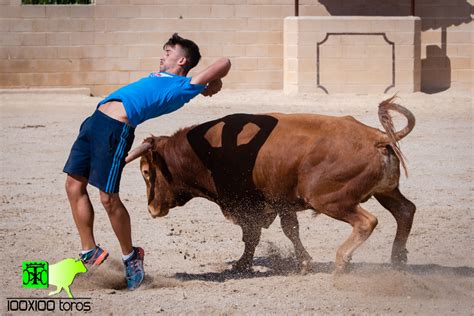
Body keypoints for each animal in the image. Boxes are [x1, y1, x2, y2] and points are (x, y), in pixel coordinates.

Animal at [125, 95, 414, 272]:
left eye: (146, 171)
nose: (152, 209)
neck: (207, 151)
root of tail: (376, 137)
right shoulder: (281, 201)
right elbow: (290, 230)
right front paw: (304, 262)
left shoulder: (248, 205)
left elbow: (252, 235)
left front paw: (242, 264)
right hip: (386, 191)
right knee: (405, 211)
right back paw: (398, 260)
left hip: (329, 199)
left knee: (367, 221)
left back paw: (343, 261)